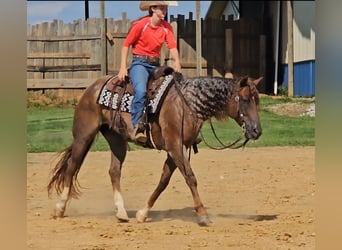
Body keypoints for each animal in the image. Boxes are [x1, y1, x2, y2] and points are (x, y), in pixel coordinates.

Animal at [48, 65, 262, 227]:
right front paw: (202, 215)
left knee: (114, 171)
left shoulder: (177, 149)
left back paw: (121, 212)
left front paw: (143, 213)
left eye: (257, 101)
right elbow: (190, 178)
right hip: (83, 136)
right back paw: (59, 208)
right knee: (72, 166)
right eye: (244, 100)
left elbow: (164, 181)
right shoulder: (175, 146)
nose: (257, 130)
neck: (187, 104)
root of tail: (91, 88)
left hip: (117, 140)